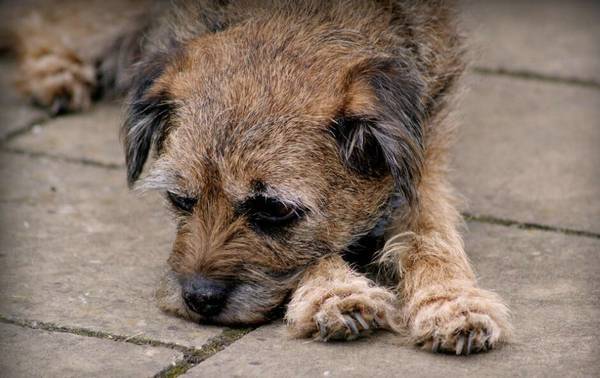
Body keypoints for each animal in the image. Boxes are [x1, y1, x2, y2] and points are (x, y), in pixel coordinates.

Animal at [9, 0, 510, 354]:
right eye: (180, 199)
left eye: (274, 209)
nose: (198, 299)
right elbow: (319, 254)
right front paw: (334, 293)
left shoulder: (425, 153)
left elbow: (430, 235)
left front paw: (452, 303)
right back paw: (56, 70)